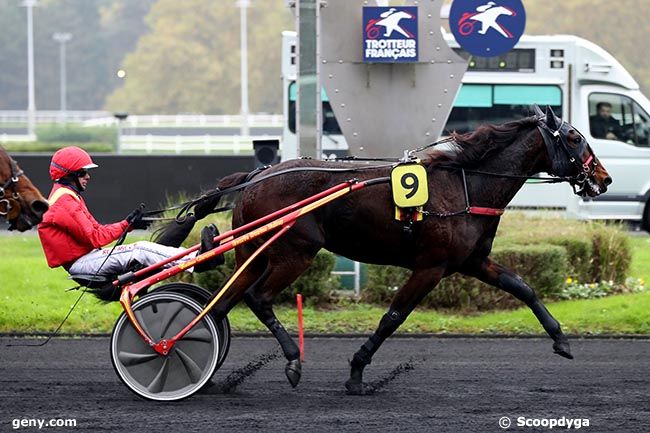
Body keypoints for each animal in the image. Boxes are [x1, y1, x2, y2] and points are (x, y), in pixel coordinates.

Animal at [161, 107, 608, 392]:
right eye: (574, 137)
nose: (603, 177)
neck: (466, 185)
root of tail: (257, 175)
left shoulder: (472, 261)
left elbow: (523, 287)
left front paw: (561, 340)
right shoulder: (431, 266)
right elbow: (393, 317)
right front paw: (357, 372)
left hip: (254, 255)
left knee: (221, 306)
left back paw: (206, 371)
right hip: (295, 252)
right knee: (258, 298)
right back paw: (290, 360)